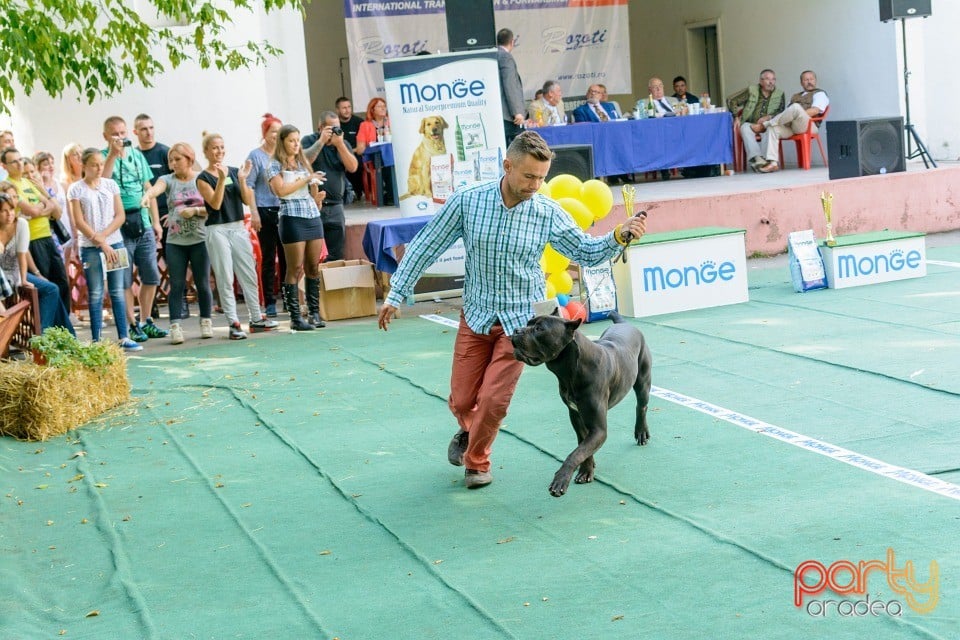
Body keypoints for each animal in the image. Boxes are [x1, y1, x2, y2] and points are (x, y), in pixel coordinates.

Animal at [510, 312, 652, 498]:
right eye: (528, 323)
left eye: (539, 329)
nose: (516, 330)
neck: (570, 371)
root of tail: (624, 323)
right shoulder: (576, 417)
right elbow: (583, 447)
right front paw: (586, 470)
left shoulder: (598, 429)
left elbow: (576, 453)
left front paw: (562, 478)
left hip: (642, 382)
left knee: (641, 407)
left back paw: (641, 432)